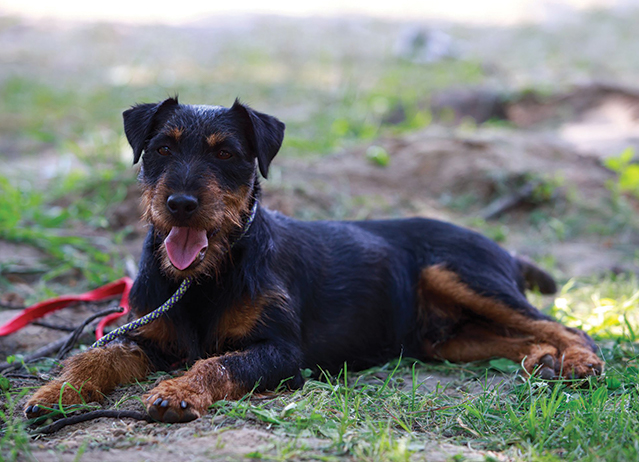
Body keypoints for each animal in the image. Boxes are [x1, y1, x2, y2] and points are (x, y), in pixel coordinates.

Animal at [25, 97, 604, 422]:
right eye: (161, 148)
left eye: (226, 153)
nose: (182, 204)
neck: (204, 279)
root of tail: (506, 250)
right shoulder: (143, 337)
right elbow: (96, 356)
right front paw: (56, 392)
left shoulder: (282, 353)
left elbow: (216, 361)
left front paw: (178, 392)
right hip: (448, 340)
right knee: (520, 335)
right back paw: (541, 360)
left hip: (463, 274)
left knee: (564, 325)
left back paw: (578, 362)